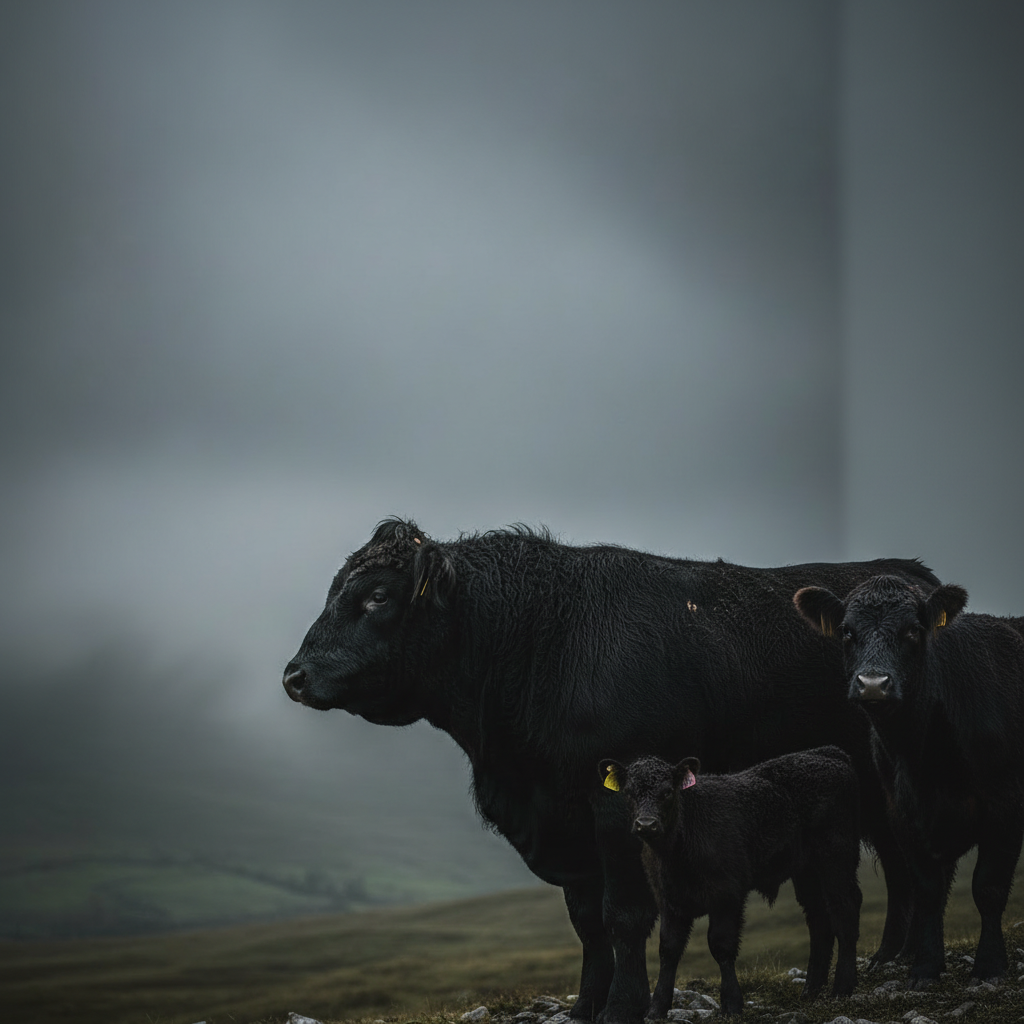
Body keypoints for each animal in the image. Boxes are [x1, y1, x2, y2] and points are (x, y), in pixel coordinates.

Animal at [598, 747, 862, 1016]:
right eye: (629, 792)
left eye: (667, 791)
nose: (646, 824)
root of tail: (826, 754)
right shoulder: (669, 901)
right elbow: (668, 950)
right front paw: (657, 1008)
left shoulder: (726, 896)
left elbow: (721, 945)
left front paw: (732, 1003)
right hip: (807, 871)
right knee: (818, 918)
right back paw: (811, 990)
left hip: (836, 856)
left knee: (845, 907)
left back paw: (842, 988)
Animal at [794, 575, 1024, 990]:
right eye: (847, 631)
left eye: (913, 630)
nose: (872, 683)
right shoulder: (901, 814)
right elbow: (927, 890)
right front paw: (926, 967)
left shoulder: (1005, 803)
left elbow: (988, 886)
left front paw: (989, 965)